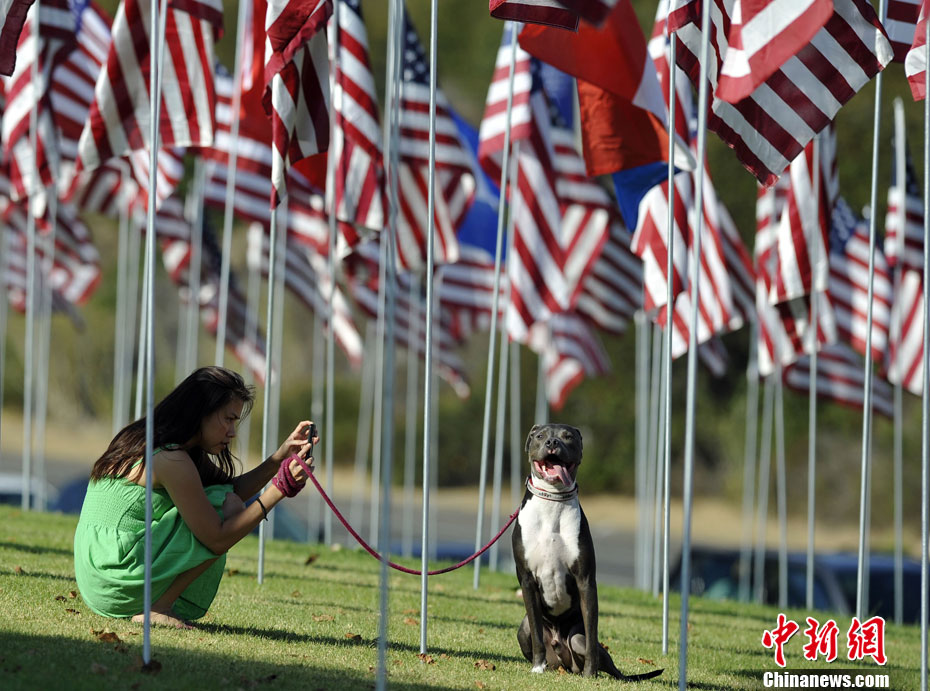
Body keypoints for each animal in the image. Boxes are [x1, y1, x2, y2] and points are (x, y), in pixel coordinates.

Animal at [512, 422, 656, 680]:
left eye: (568, 436)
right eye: (540, 436)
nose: (552, 443)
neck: (552, 502)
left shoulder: (585, 580)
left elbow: (591, 633)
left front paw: (591, 674)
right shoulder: (527, 579)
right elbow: (537, 634)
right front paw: (537, 667)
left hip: (576, 640)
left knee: (590, 647)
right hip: (523, 629)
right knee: (531, 629)